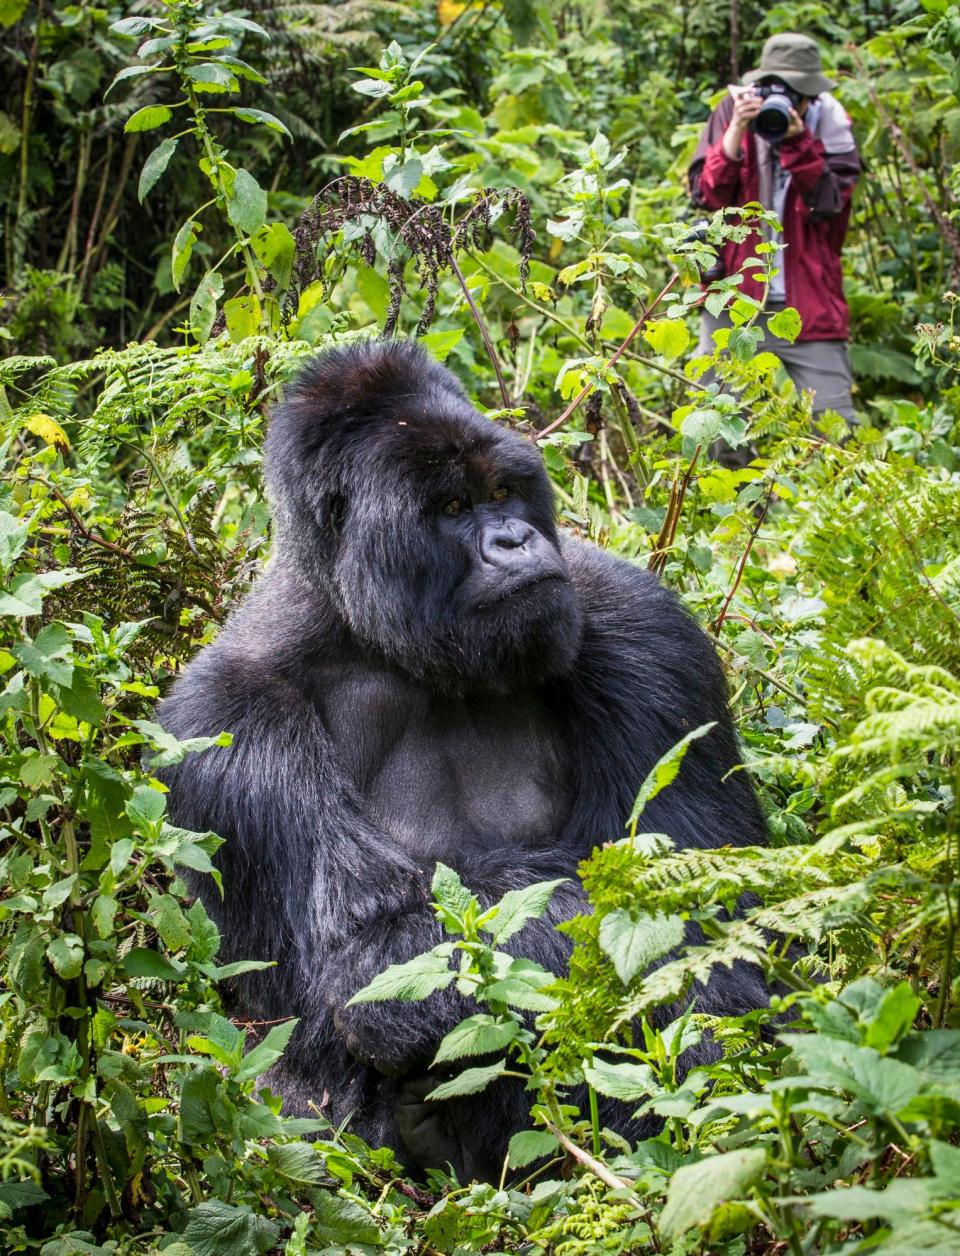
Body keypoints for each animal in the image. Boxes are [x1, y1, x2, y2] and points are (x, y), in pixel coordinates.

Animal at [160, 339, 769, 1180]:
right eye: (451, 509)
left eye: (505, 492)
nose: (514, 540)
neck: (378, 636)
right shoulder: (224, 725)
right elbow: (367, 953)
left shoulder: (642, 626)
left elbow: (705, 894)